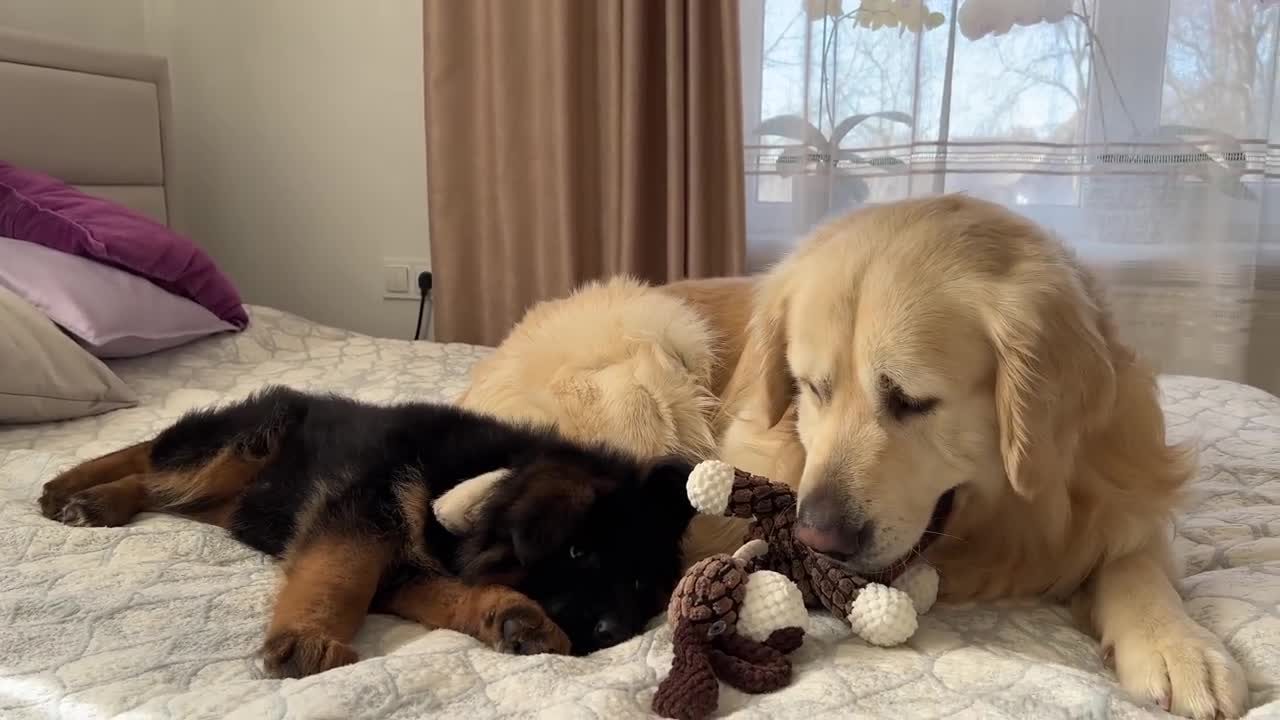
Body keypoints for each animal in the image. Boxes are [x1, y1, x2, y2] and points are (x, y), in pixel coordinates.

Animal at [40, 384, 696, 676]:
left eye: (644, 586)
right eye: (579, 551)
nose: (616, 634)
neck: (476, 480)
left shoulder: (405, 570)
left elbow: (448, 594)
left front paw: (509, 616)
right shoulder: (361, 513)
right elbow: (340, 577)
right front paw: (307, 639)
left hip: (231, 497)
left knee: (162, 487)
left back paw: (100, 499)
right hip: (248, 439)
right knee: (151, 456)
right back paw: (80, 487)